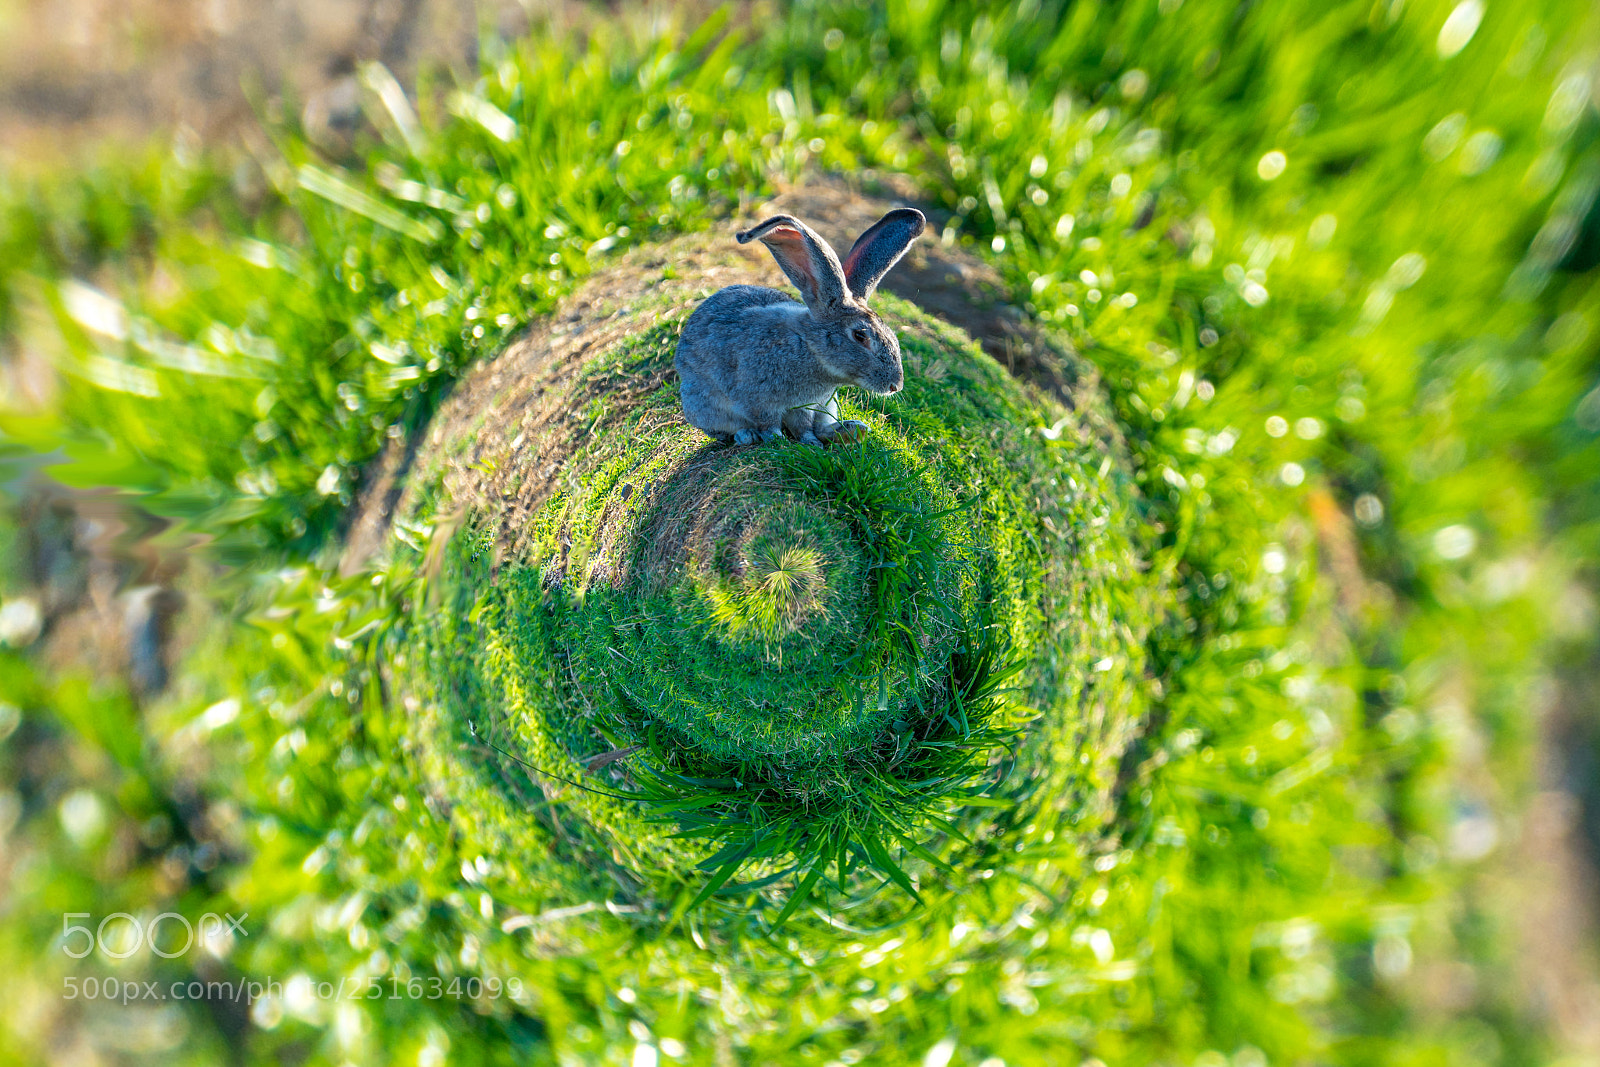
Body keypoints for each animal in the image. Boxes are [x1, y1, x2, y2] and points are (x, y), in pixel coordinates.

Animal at [675, 207, 927, 447]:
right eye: (860, 336)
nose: (895, 386)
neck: (808, 346)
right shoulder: (759, 401)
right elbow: (770, 423)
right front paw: (778, 439)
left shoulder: (810, 404)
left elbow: (804, 426)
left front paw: (812, 441)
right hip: (702, 404)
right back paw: (747, 435)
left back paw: (851, 430)